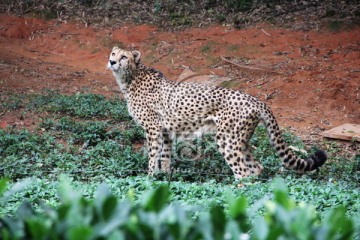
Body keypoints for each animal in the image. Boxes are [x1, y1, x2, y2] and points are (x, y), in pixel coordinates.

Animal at [106, 47, 326, 178]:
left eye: (124, 56)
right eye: (113, 54)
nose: (112, 62)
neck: (130, 78)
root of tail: (256, 99)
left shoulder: (153, 129)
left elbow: (153, 156)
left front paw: (149, 179)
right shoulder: (165, 131)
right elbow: (165, 156)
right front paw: (165, 180)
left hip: (226, 139)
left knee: (243, 171)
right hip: (240, 139)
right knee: (255, 168)